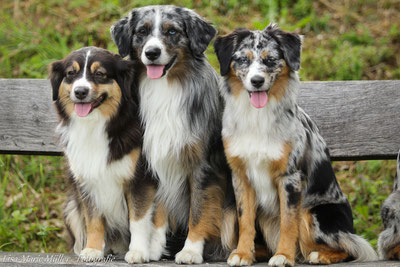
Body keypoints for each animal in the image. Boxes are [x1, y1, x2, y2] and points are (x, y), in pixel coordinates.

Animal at [214, 24, 376, 266]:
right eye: (243, 60)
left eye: (270, 60)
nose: (257, 81)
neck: (257, 117)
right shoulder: (241, 175)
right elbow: (245, 221)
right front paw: (242, 253)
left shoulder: (289, 176)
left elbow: (288, 223)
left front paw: (283, 255)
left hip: (316, 214)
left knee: (348, 247)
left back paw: (319, 255)